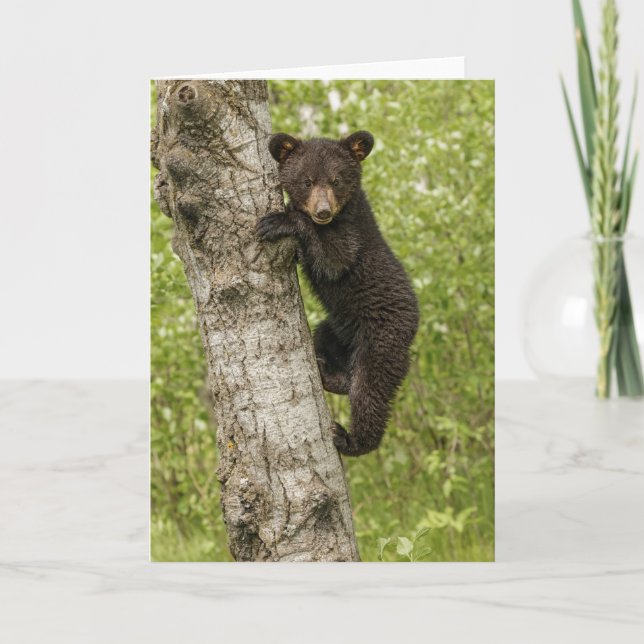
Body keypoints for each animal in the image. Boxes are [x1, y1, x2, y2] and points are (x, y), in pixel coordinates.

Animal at [256, 130, 419, 457]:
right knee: (329, 347)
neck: (342, 214)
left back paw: (351, 439)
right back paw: (328, 373)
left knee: (370, 391)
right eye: (307, 181)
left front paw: (279, 221)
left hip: (382, 340)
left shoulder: (352, 236)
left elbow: (334, 258)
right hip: (337, 328)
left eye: (336, 180)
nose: (322, 211)